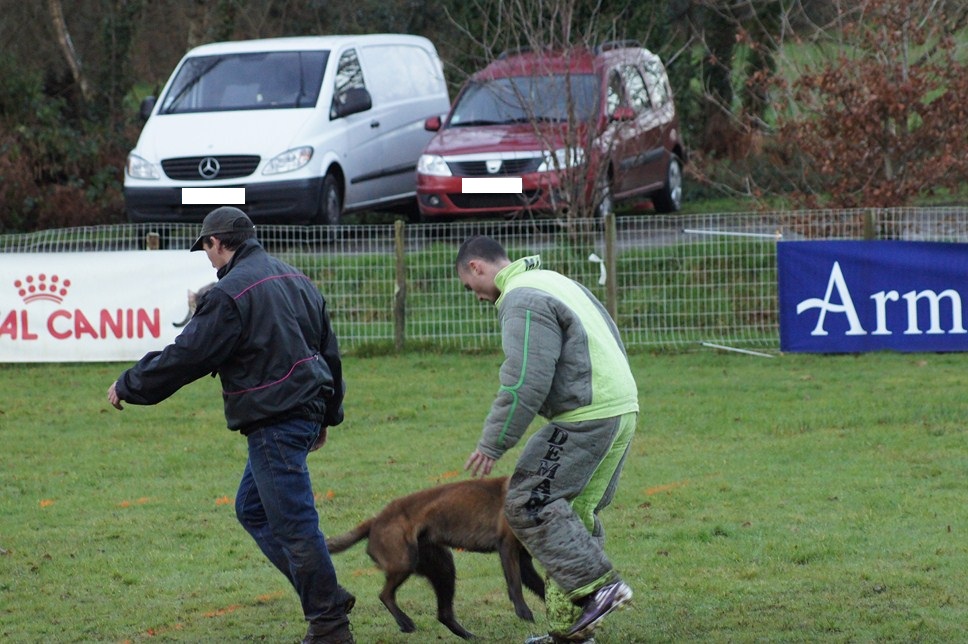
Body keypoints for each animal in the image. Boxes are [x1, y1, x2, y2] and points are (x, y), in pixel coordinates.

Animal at [328, 476, 544, 636]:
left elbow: (541, 586)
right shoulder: (508, 548)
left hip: (444, 569)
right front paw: (524, 613)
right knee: (385, 594)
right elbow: (515, 584)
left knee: (444, 614)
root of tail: (374, 520)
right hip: (404, 562)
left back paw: (470, 636)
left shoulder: (523, 560)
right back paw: (405, 622)